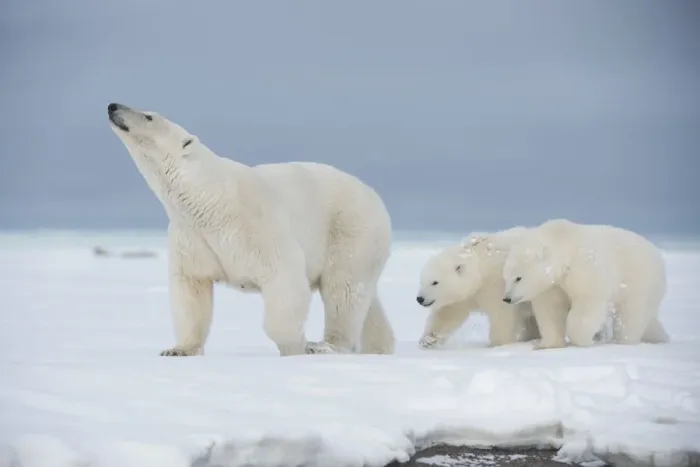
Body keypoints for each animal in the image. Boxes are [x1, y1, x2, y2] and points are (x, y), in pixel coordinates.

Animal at [107, 103, 395, 357]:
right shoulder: (192, 237)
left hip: (351, 230)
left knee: (344, 289)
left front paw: (296, 347)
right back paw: (379, 347)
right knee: (364, 297)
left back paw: (326, 345)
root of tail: (375, 196)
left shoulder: (256, 225)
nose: (113, 106)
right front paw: (178, 349)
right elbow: (191, 289)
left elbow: (284, 278)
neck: (208, 198)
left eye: (148, 116)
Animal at [415, 226, 554, 349]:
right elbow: (448, 313)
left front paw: (498, 344)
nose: (420, 298)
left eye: (435, 282)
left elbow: (502, 314)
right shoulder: (465, 296)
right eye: (421, 282)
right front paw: (428, 339)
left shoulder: (497, 285)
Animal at [502, 218, 669, 349]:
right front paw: (547, 344)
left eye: (518, 278)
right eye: (506, 278)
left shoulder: (584, 268)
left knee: (631, 315)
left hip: (640, 280)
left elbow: (588, 302)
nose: (507, 298)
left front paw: (584, 340)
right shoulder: (553, 286)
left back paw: (624, 341)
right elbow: (551, 309)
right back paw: (659, 335)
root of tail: (658, 255)